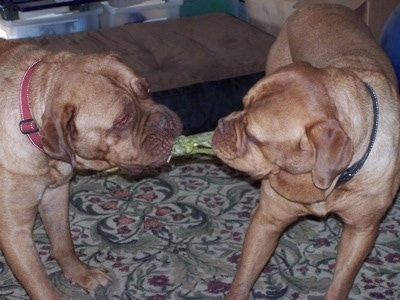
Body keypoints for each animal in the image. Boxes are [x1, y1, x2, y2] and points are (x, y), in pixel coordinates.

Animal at [0, 38, 181, 298]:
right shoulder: (14, 231)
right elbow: (40, 284)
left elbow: (64, 242)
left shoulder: (55, 195)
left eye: (146, 89)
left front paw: (80, 274)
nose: (164, 120)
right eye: (123, 119)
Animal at [212, 3, 400, 298]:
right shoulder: (268, 220)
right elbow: (242, 278)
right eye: (243, 104)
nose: (220, 126)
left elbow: (340, 283)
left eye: (253, 135)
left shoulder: (361, 230)